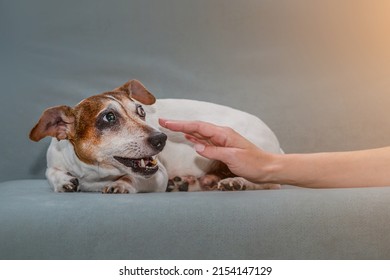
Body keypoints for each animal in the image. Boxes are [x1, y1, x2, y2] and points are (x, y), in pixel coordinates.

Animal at [29, 79, 282, 192]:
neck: (96, 175)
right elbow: (51, 173)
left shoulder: (157, 174)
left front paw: (121, 184)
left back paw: (236, 182)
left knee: (270, 183)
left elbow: (131, 178)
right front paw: (63, 181)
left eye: (141, 111)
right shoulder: (53, 160)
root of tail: (277, 144)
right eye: (108, 118)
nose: (161, 138)